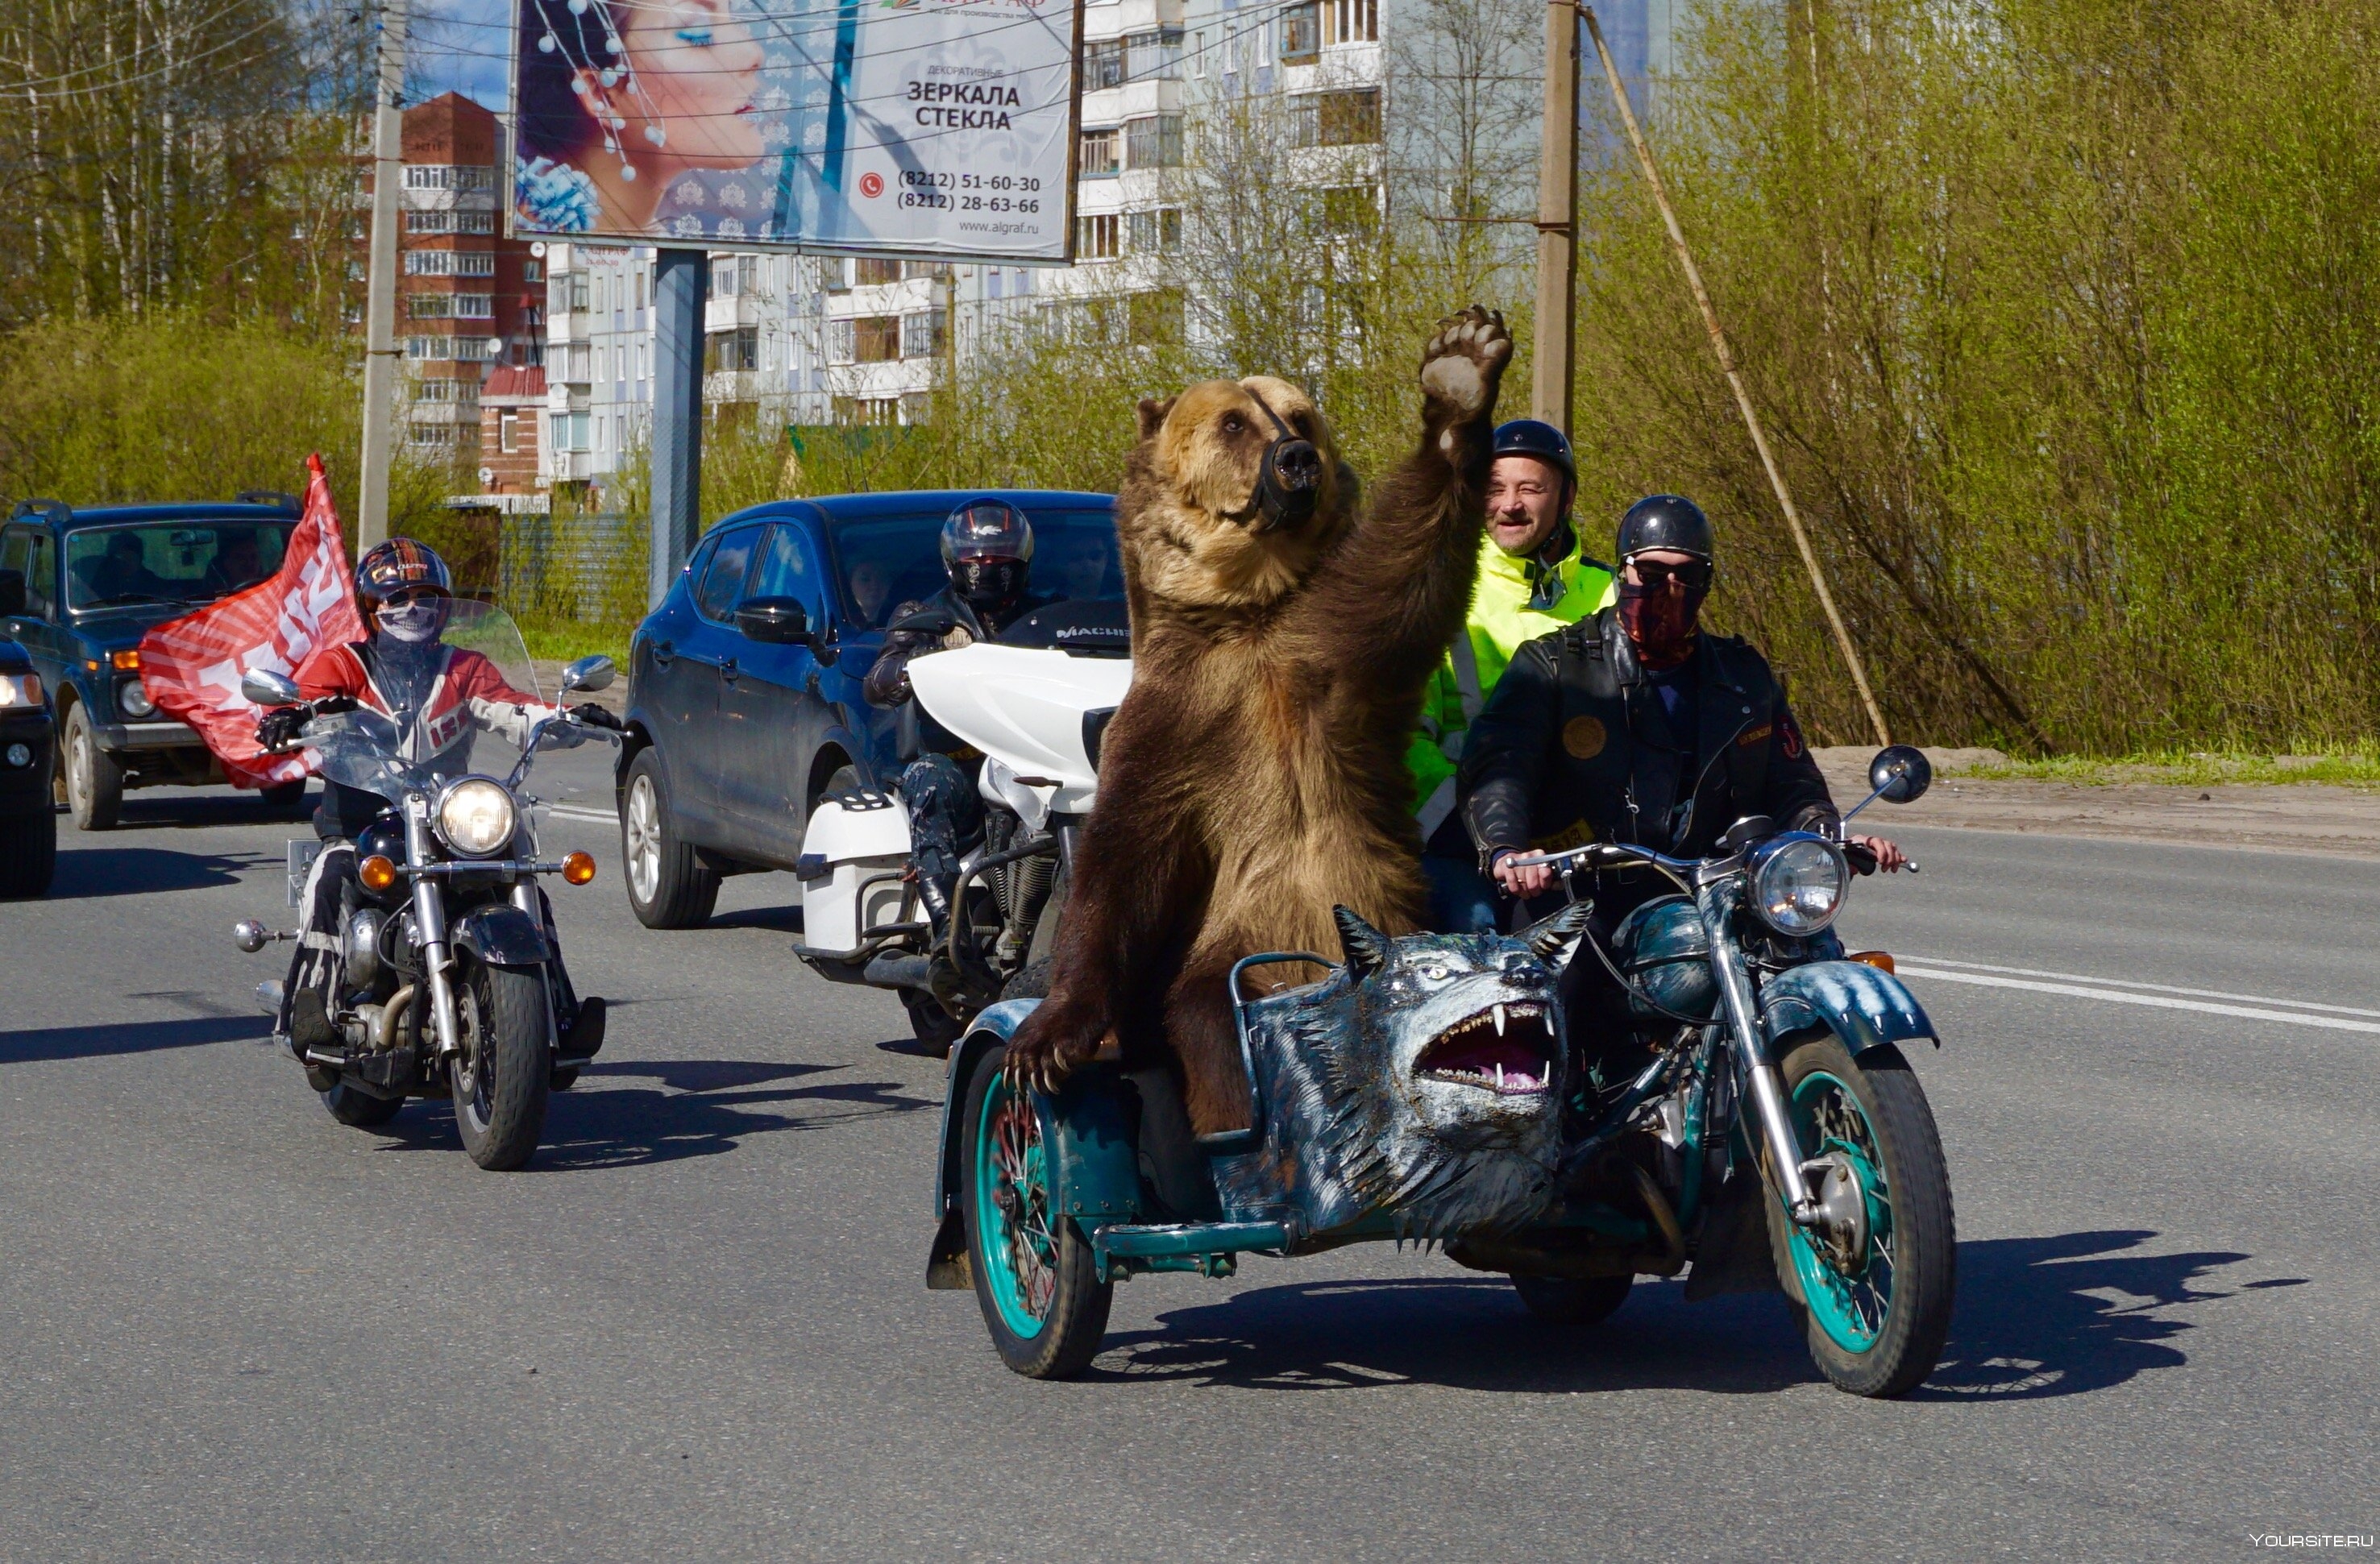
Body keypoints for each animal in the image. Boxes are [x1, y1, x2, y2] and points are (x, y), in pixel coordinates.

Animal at [1009, 307, 1522, 1133]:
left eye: (1299, 415)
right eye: (1232, 422)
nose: (1298, 460)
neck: (1246, 611)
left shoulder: (1334, 658)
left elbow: (1408, 563)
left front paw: (1460, 372)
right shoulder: (1175, 725)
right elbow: (1119, 864)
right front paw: (1050, 1036)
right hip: (1244, 943)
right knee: (1208, 1013)